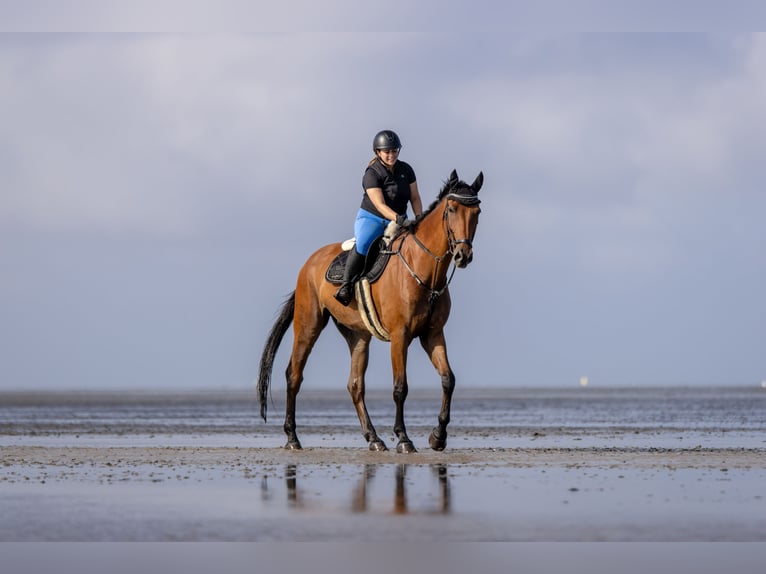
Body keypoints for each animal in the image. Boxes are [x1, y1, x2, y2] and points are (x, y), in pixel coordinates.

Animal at [257, 169, 483, 453]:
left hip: (358, 336)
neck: (425, 273)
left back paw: (373, 438)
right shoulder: (400, 336)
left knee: (355, 385)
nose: (463, 255)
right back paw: (292, 437)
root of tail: (309, 263)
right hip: (308, 325)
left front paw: (438, 436)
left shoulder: (432, 334)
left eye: (477, 212)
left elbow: (448, 379)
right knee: (294, 375)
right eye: (451, 209)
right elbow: (400, 387)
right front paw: (404, 439)